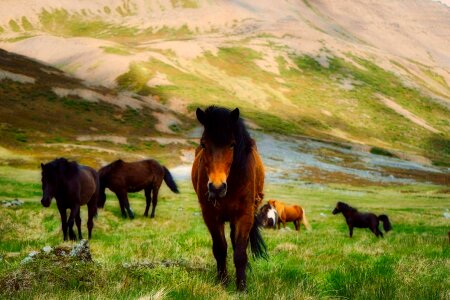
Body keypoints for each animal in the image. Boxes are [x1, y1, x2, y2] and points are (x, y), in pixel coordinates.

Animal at [191, 105, 268, 290]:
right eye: (203, 144)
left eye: (232, 144)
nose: (217, 187)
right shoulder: (211, 216)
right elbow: (220, 249)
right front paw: (223, 282)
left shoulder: (244, 216)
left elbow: (240, 253)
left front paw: (241, 288)